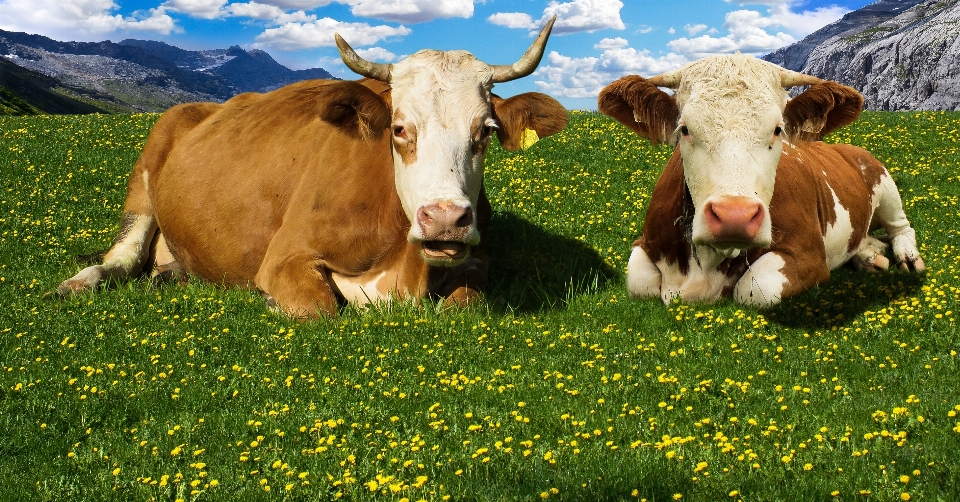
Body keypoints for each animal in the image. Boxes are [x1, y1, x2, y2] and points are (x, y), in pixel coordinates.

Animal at [54, 20, 568, 318]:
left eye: (486, 129)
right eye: (399, 128)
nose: (445, 219)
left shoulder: (478, 257)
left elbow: (465, 303)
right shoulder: (286, 255)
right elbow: (321, 309)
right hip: (145, 175)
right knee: (122, 257)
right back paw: (76, 284)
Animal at [600, 54, 924, 306]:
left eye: (778, 129)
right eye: (685, 129)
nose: (735, 216)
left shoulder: (809, 258)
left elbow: (755, 288)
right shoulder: (645, 244)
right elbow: (639, 282)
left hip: (883, 182)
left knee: (901, 228)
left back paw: (908, 258)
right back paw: (869, 255)